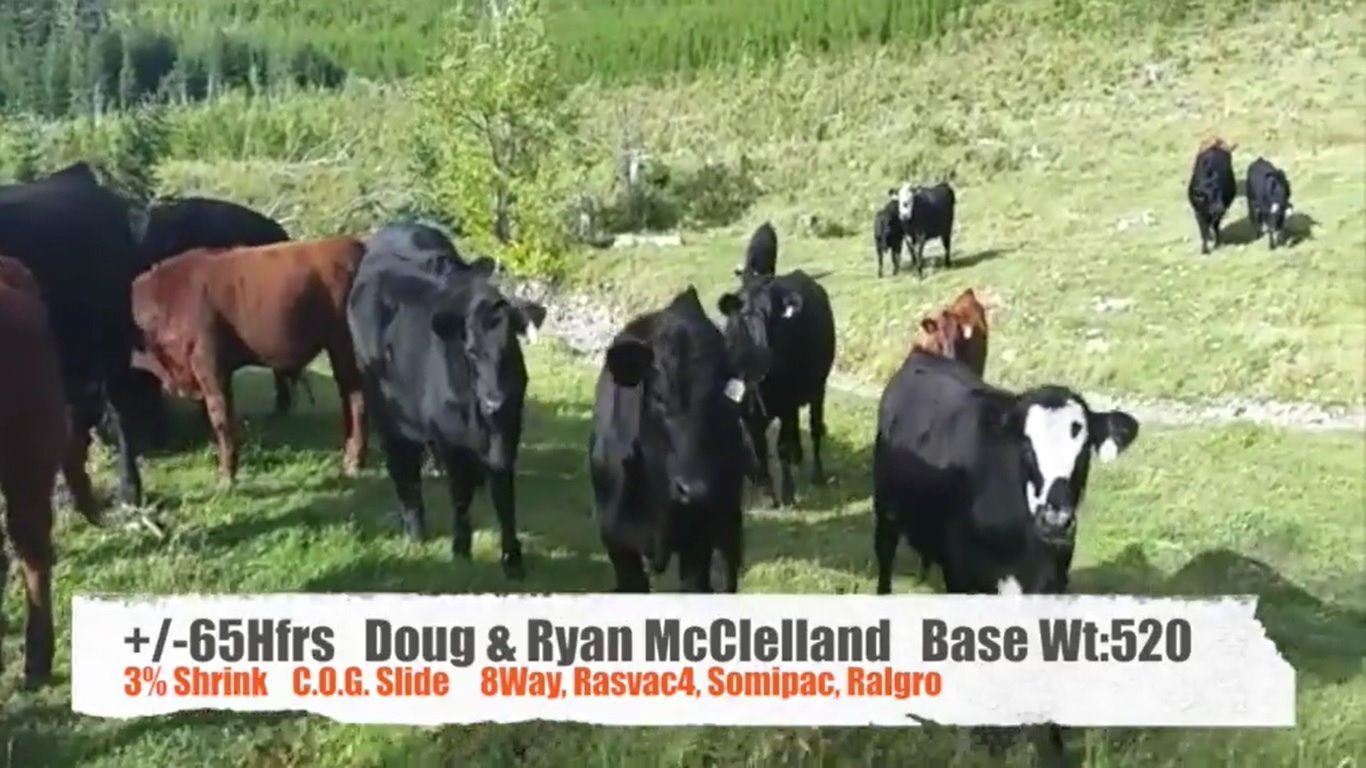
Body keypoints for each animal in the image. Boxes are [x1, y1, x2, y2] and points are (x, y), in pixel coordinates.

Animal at [131, 238, 367, 483]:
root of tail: (355, 244)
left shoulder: (209, 365)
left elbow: (220, 418)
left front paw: (226, 475)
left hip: (344, 348)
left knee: (355, 399)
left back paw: (353, 461)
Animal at [347, 222, 546, 579]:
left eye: (511, 346)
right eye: (471, 351)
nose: (495, 401)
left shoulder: (507, 432)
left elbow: (503, 495)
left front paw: (512, 559)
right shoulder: (452, 440)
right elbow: (460, 495)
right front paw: (460, 549)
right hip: (384, 408)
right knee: (402, 466)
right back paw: (415, 530)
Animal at [717, 270, 835, 508]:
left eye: (773, 316)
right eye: (743, 316)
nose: (761, 353)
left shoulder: (786, 403)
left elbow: (782, 447)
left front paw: (788, 493)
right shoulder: (747, 412)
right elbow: (759, 448)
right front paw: (766, 491)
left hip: (818, 388)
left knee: (815, 428)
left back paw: (817, 474)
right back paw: (798, 456)